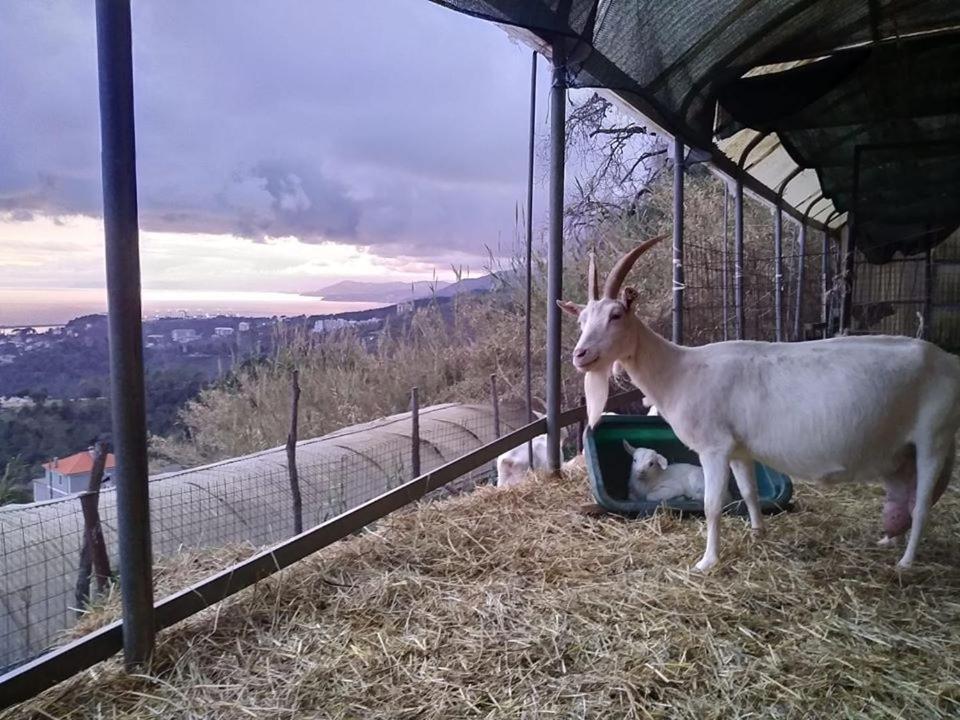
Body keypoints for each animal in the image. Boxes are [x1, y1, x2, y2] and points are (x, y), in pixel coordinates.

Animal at [556, 239, 960, 572]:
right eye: (581, 320)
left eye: (616, 315)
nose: (580, 355)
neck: (680, 370)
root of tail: (948, 361)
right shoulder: (738, 449)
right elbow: (749, 492)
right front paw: (757, 532)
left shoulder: (715, 447)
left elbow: (712, 505)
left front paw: (706, 562)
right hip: (903, 451)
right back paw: (888, 539)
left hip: (934, 436)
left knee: (923, 502)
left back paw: (906, 562)